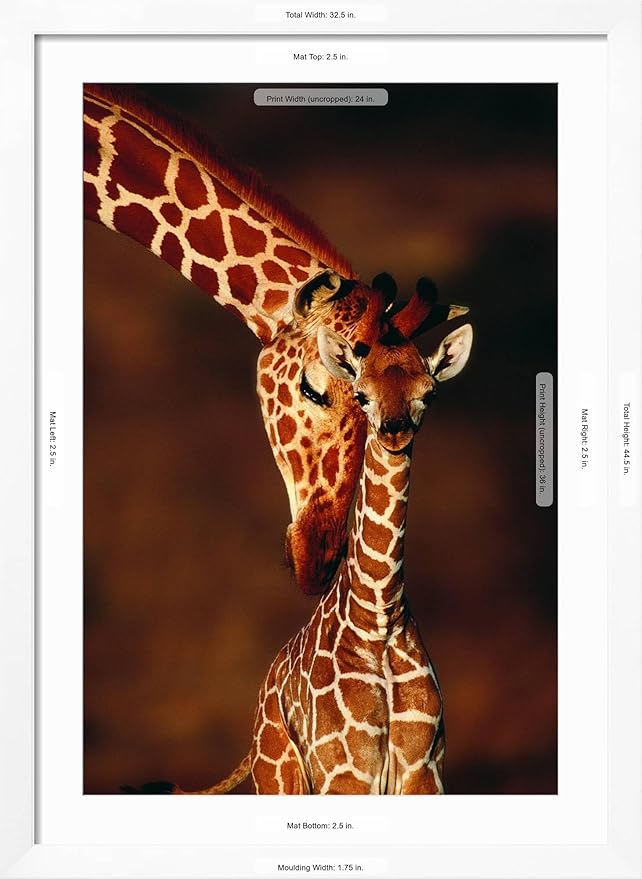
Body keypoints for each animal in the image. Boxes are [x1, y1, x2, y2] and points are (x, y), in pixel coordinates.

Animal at [144, 293, 473, 796]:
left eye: (429, 393)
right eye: (361, 393)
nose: (394, 429)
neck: (379, 617)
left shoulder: (425, 772)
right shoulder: (346, 773)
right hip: (280, 776)